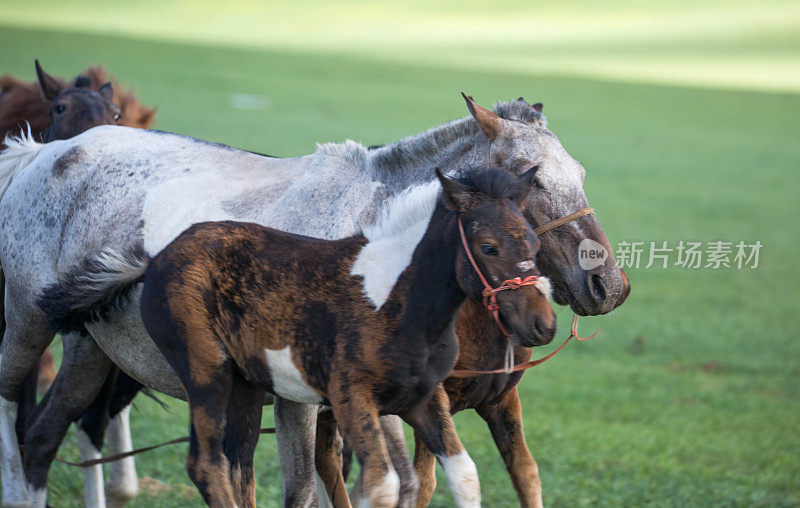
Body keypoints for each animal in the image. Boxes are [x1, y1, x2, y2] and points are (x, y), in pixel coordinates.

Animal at [37, 166, 556, 504]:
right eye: (488, 247)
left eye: (534, 241)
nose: (543, 324)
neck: (398, 296)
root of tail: (155, 258)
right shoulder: (351, 399)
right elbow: (383, 486)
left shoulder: (423, 400)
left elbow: (463, 476)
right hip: (207, 373)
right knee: (206, 466)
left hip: (245, 388)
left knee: (237, 470)